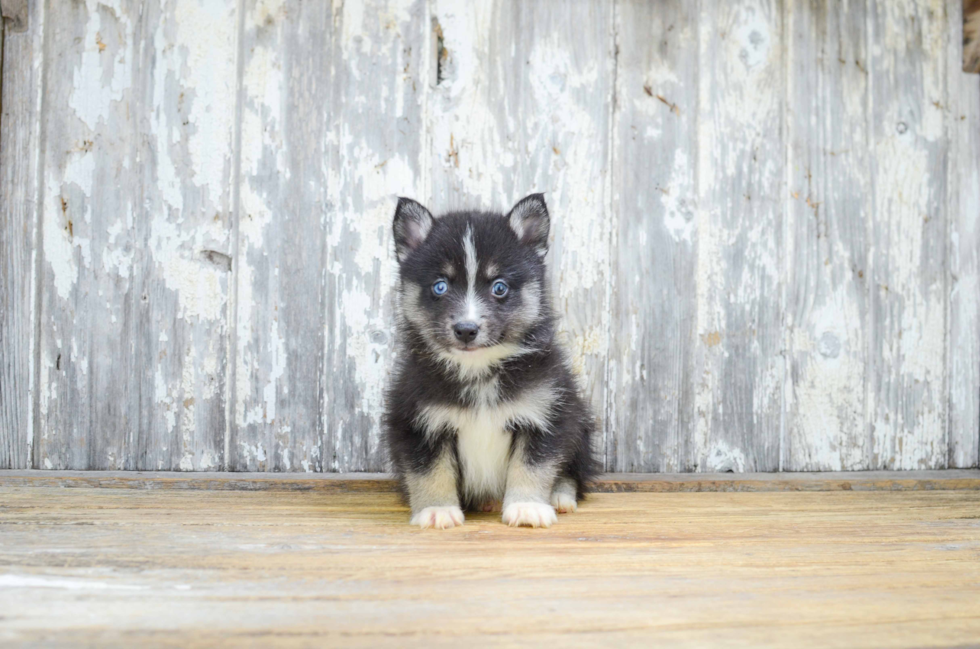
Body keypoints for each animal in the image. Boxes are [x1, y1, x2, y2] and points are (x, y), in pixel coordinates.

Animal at [382, 192, 596, 528]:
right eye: (440, 286)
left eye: (499, 287)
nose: (466, 330)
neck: (479, 368)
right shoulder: (416, 421)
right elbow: (429, 471)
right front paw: (437, 509)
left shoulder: (546, 415)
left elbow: (533, 465)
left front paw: (527, 506)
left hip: (580, 426)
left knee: (572, 471)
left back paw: (560, 496)